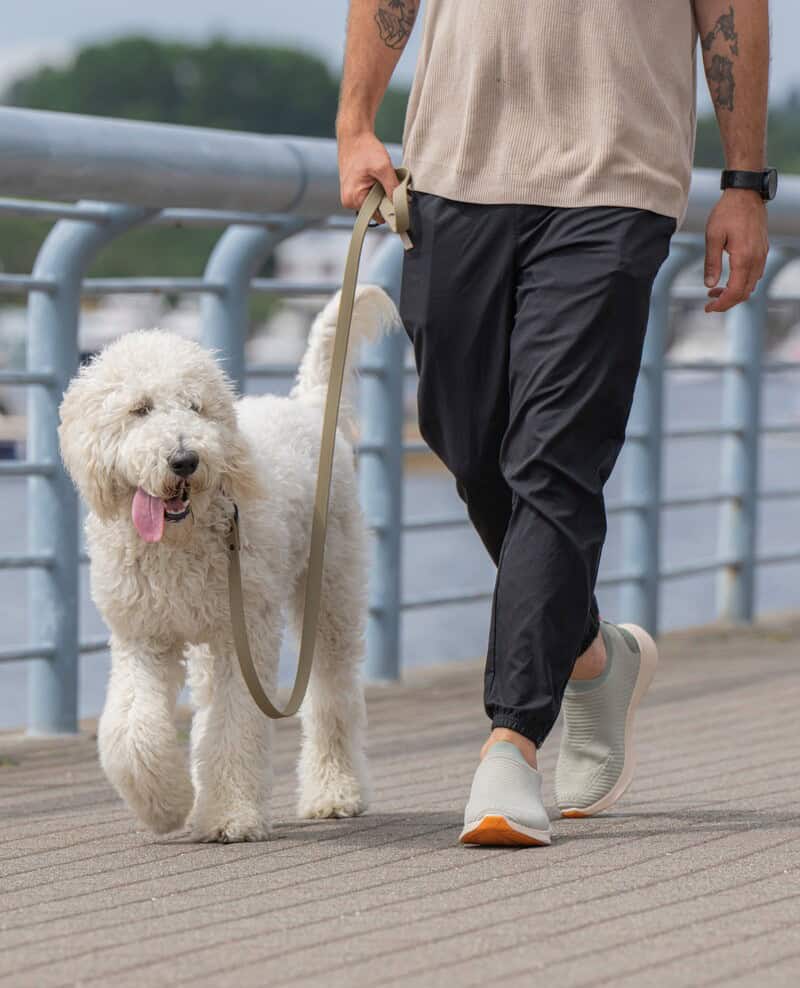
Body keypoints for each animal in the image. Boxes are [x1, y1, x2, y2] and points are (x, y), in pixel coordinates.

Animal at [57, 284, 400, 840]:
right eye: (140, 409)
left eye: (196, 407)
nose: (184, 460)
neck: (180, 541)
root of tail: (306, 404)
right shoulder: (142, 637)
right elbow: (131, 728)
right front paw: (166, 805)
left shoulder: (244, 637)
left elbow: (236, 724)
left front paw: (230, 816)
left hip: (330, 591)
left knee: (333, 695)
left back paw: (334, 792)